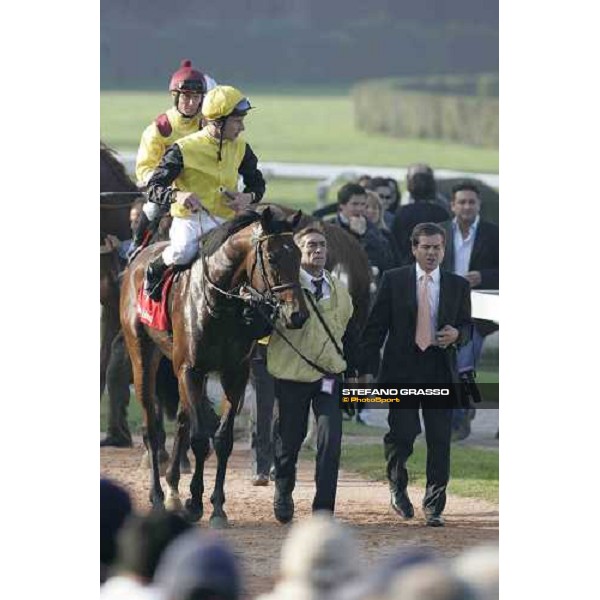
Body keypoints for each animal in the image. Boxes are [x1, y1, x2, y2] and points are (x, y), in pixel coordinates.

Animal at [122, 207, 310, 524]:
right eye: (272, 257)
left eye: (297, 255)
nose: (297, 315)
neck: (219, 301)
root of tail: (140, 255)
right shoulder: (191, 370)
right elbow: (200, 438)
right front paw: (195, 503)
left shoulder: (235, 373)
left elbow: (222, 440)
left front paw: (217, 506)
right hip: (143, 355)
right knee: (152, 428)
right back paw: (158, 496)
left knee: (182, 420)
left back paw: (173, 490)